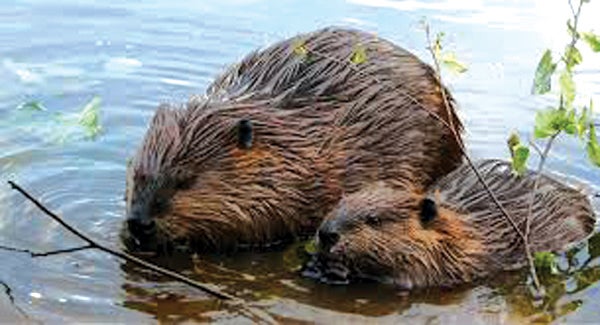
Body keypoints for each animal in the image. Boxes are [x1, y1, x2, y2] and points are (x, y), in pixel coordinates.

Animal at [308, 158, 596, 288]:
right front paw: (314, 264)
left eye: (374, 219)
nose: (326, 233)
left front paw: (335, 270)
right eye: (336, 207)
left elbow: (411, 278)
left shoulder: (449, 260)